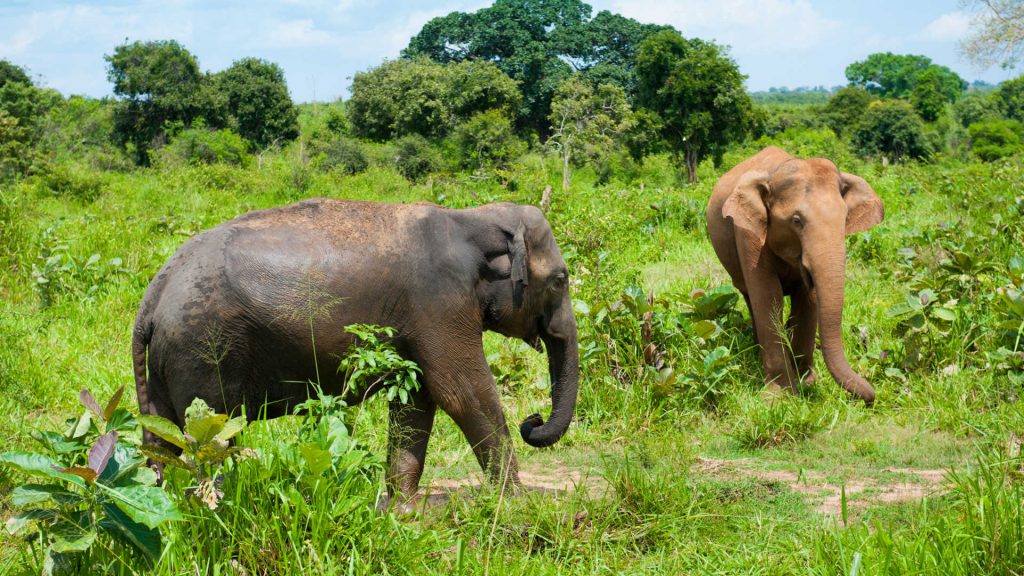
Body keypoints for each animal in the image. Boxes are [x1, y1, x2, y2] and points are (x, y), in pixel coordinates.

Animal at [133, 196, 581, 502]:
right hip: (204, 350)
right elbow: (461, 393)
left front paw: (402, 508)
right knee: (212, 437)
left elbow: (418, 399)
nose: (532, 421)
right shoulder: (440, 302)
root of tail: (154, 293)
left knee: (162, 438)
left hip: (168, 362)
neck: (472, 216)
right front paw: (516, 501)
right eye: (560, 280)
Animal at [708, 145, 884, 401]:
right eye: (797, 221)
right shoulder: (747, 233)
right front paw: (779, 396)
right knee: (750, 297)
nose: (870, 398)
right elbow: (768, 297)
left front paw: (807, 383)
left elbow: (808, 299)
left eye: (844, 219)